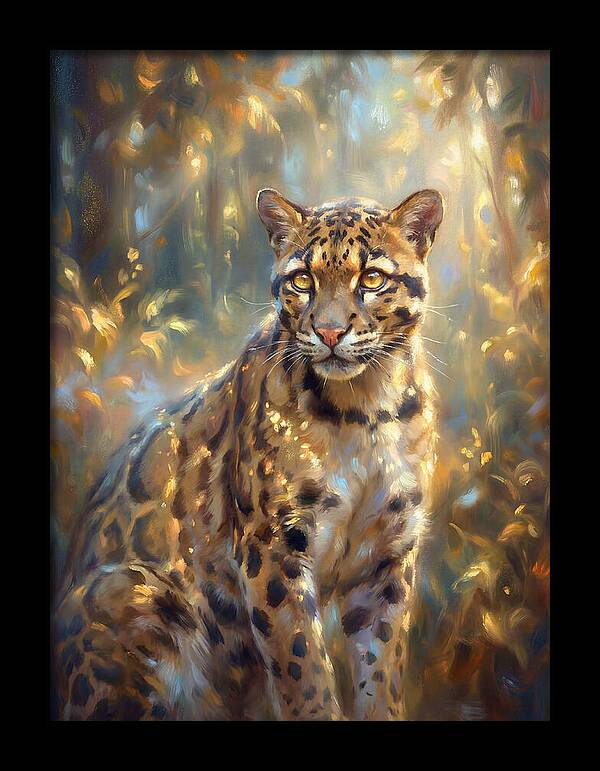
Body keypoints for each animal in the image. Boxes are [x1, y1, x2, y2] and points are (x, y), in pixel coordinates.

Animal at [53, 186, 444, 721]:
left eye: (371, 278)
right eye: (302, 280)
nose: (329, 333)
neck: (365, 411)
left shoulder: (388, 556)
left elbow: (381, 671)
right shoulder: (273, 547)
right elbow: (304, 670)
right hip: (133, 592)